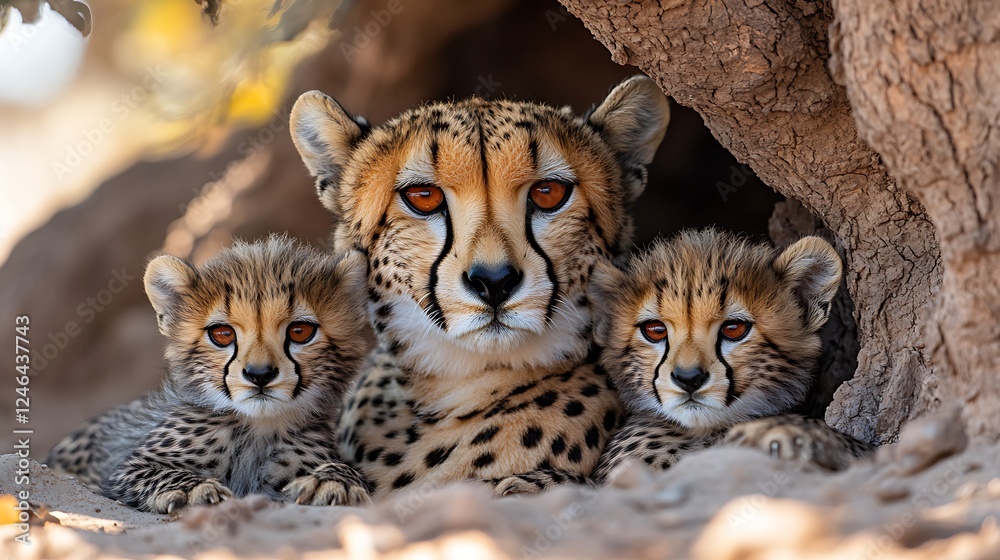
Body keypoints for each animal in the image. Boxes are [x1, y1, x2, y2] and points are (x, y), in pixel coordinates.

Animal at [44, 235, 376, 513]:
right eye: (222, 334)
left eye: (300, 331)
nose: (259, 374)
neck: (256, 428)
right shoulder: (128, 468)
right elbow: (161, 473)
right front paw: (194, 489)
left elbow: (348, 471)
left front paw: (333, 480)